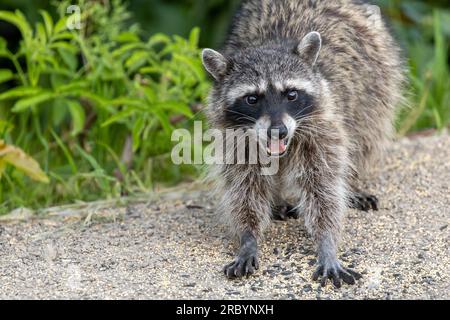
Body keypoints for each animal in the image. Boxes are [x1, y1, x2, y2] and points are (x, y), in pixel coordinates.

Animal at [200, 0, 404, 286]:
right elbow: (244, 189)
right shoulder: (235, 139)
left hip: (377, 80)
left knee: (366, 132)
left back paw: (353, 181)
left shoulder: (323, 128)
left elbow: (323, 189)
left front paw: (327, 243)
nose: (278, 131)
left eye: (291, 94)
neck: (271, 44)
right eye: (252, 99)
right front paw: (248, 238)